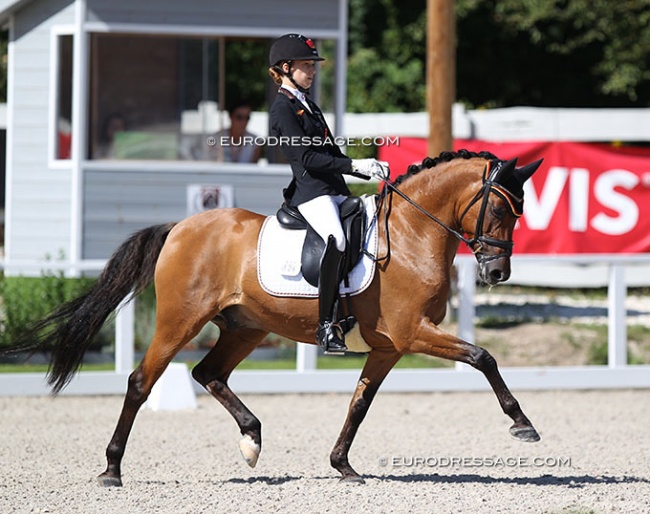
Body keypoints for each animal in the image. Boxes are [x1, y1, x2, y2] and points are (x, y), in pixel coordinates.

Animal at [20, 148, 540, 484]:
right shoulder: (413, 333)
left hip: (246, 328)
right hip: (179, 322)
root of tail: (180, 227)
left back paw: (252, 438)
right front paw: (522, 424)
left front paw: (342, 465)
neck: (412, 234)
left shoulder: (390, 346)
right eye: (499, 208)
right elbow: (482, 356)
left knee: (208, 373)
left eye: (520, 211)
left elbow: (360, 402)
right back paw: (112, 469)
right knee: (141, 381)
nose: (497, 272)